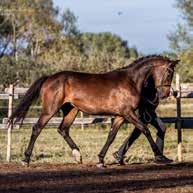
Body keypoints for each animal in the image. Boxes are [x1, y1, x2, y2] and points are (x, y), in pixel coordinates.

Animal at [8, 55, 178, 167]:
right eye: (169, 73)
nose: (165, 94)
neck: (132, 81)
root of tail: (50, 78)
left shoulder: (120, 116)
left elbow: (111, 136)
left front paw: (101, 160)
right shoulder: (128, 113)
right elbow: (145, 130)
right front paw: (160, 156)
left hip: (71, 110)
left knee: (63, 129)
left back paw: (78, 155)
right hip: (50, 110)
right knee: (37, 128)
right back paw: (25, 160)